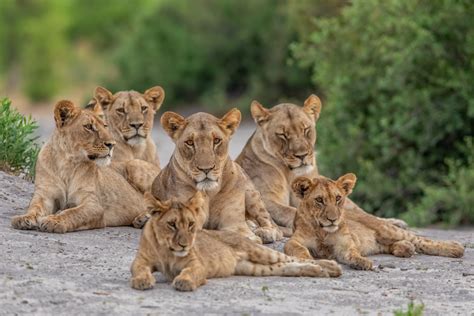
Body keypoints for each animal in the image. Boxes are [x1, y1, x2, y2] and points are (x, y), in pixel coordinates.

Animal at [10, 100, 148, 233]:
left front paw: (54, 221)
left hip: (134, 165)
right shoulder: (45, 195)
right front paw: (24, 218)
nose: (112, 144)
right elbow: (34, 207)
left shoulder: (94, 205)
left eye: (105, 126)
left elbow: (73, 213)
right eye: (88, 127)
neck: (67, 163)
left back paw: (143, 219)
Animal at [130, 190, 340, 292]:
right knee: (287, 267)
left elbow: (190, 272)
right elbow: (139, 270)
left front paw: (183, 282)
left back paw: (331, 267)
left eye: (191, 224)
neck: (167, 250)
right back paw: (318, 271)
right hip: (253, 268)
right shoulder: (140, 261)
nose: (185, 244)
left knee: (295, 258)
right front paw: (142, 281)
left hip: (259, 252)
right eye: (172, 224)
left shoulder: (197, 265)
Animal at [152, 109, 284, 244]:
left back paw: (266, 232)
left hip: (251, 194)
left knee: (274, 226)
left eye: (216, 140)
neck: (210, 192)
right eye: (189, 142)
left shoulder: (234, 224)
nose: (206, 169)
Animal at [237, 95, 408, 233]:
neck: (290, 174)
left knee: (364, 213)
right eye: (282, 135)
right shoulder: (266, 198)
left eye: (306, 129)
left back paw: (396, 222)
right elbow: (291, 212)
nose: (302, 155)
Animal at [284, 173, 464, 270]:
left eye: (338, 198)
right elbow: (299, 249)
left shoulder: (344, 245)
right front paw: (309, 259)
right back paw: (405, 248)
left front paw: (361, 262)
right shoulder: (294, 241)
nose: (333, 219)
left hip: (387, 229)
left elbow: (352, 253)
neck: (322, 231)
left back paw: (455, 248)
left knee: (421, 240)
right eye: (319, 200)